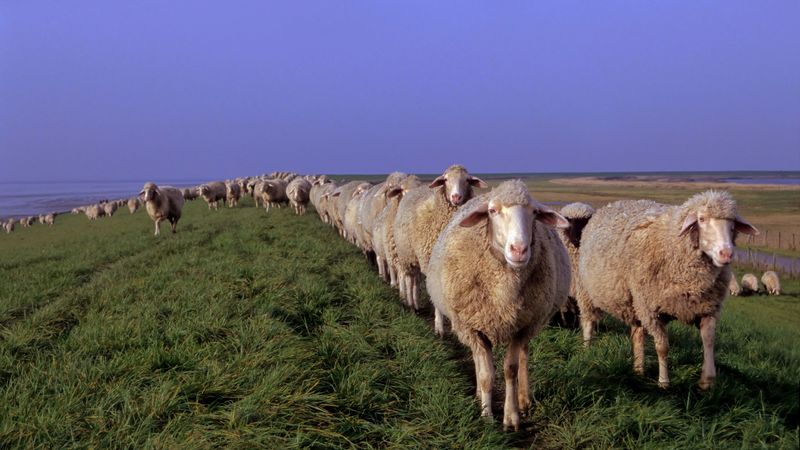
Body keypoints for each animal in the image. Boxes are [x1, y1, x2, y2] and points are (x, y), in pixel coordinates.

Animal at [393, 165, 487, 309]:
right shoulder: (429, 261)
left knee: (415, 279)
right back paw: (410, 303)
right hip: (406, 253)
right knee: (409, 278)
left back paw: (416, 303)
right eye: (445, 180)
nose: (456, 197)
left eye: (467, 180)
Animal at [426, 180, 570, 430]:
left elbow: (510, 370)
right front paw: (486, 415)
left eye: (535, 212)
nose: (519, 250)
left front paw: (511, 417)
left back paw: (524, 399)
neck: (504, 293)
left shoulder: (521, 327)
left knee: (523, 356)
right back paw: (479, 394)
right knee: (478, 360)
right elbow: (486, 375)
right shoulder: (474, 327)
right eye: (492, 211)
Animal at [576, 190, 759, 389]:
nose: (726, 254)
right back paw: (586, 348)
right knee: (588, 321)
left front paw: (707, 381)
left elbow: (709, 341)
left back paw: (638, 369)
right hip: (588, 291)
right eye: (701, 219)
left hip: (635, 303)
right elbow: (662, 347)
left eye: (732, 223)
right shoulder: (652, 310)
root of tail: (611, 204)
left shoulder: (708, 308)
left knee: (637, 333)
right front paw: (664, 382)